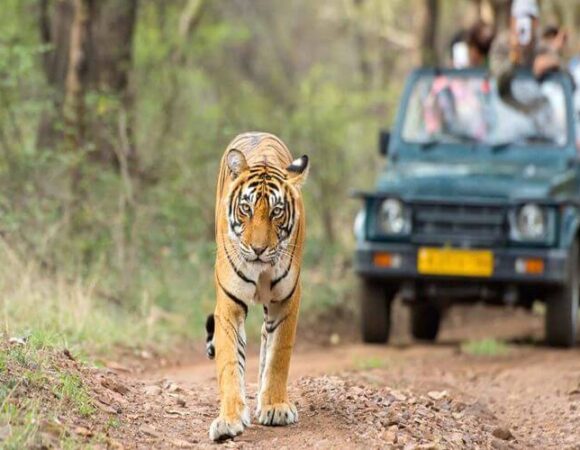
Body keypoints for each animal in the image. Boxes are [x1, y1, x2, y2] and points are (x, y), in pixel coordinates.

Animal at [206, 132, 310, 442]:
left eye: (276, 212)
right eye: (246, 208)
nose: (258, 249)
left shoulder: (287, 300)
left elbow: (278, 356)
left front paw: (275, 407)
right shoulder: (228, 305)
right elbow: (229, 362)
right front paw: (228, 420)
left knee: (266, 338)